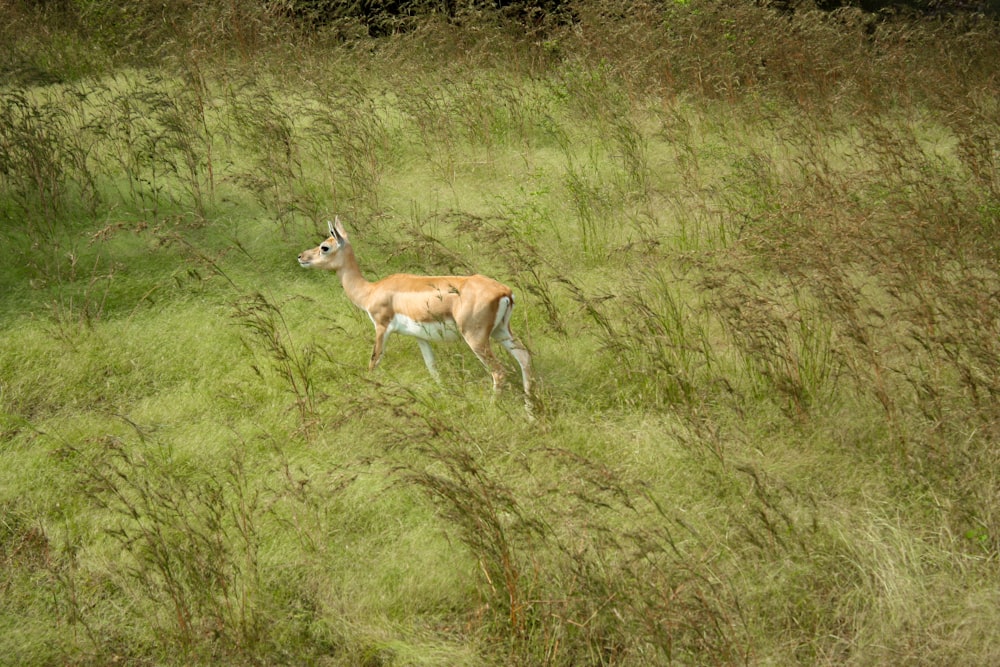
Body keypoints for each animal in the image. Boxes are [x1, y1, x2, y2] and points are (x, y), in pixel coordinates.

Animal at [296, 218, 532, 412]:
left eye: (325, 247)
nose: (301, 257)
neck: (371, 290)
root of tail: (504, 292)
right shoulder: (420, 337)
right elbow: (432, 368)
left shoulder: (382, 327)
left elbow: (374, 362)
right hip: (501, 331)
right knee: (525, 358)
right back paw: (529, 412)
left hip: (476, 338)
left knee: (499, 372)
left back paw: (493, 408)